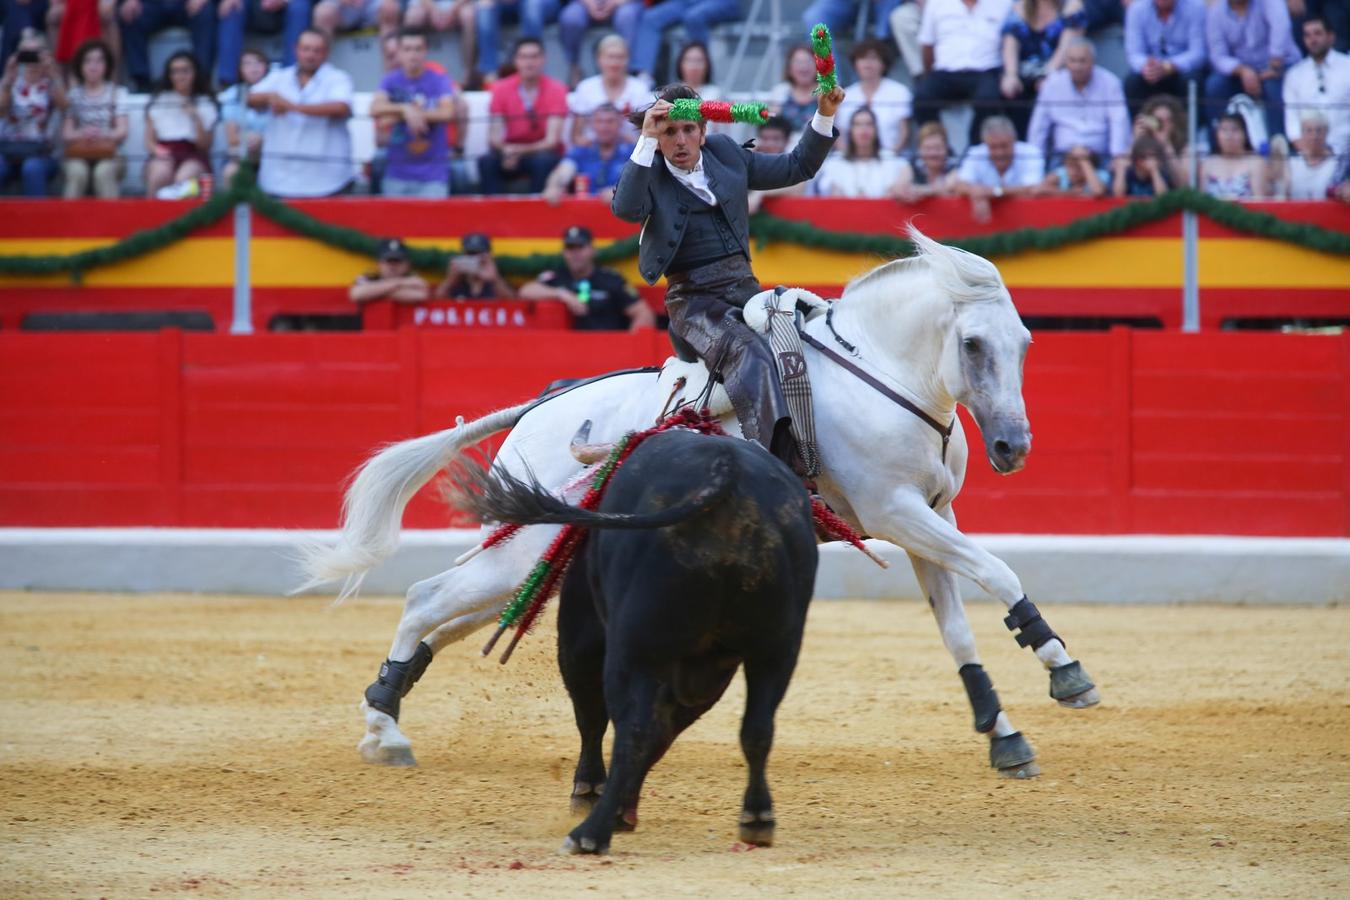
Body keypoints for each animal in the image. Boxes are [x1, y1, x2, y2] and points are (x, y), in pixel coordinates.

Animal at [303, 229, 1096, 777]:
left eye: (1027, 342)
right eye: (973, 344)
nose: (1013, 447)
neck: (880, 372)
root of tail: (540, 406)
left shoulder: (930, 518)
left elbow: (956, 628)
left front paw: (1004, 735)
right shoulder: (897, 512)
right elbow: (998, 571)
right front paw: (1063, 668)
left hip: (536, 557)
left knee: (446, 617)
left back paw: (382, 709)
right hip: (524, 549)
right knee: (425, 599)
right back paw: (385, 731)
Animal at [464, 431, 815, 858]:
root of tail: (727, 472)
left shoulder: (583, 638)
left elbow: (597, 719)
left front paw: (592, 794)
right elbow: (668, 728)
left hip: (632, 649)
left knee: (631, 729)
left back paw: (590, 833)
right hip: (777, 648)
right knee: (757, 727)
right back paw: (757, 819)